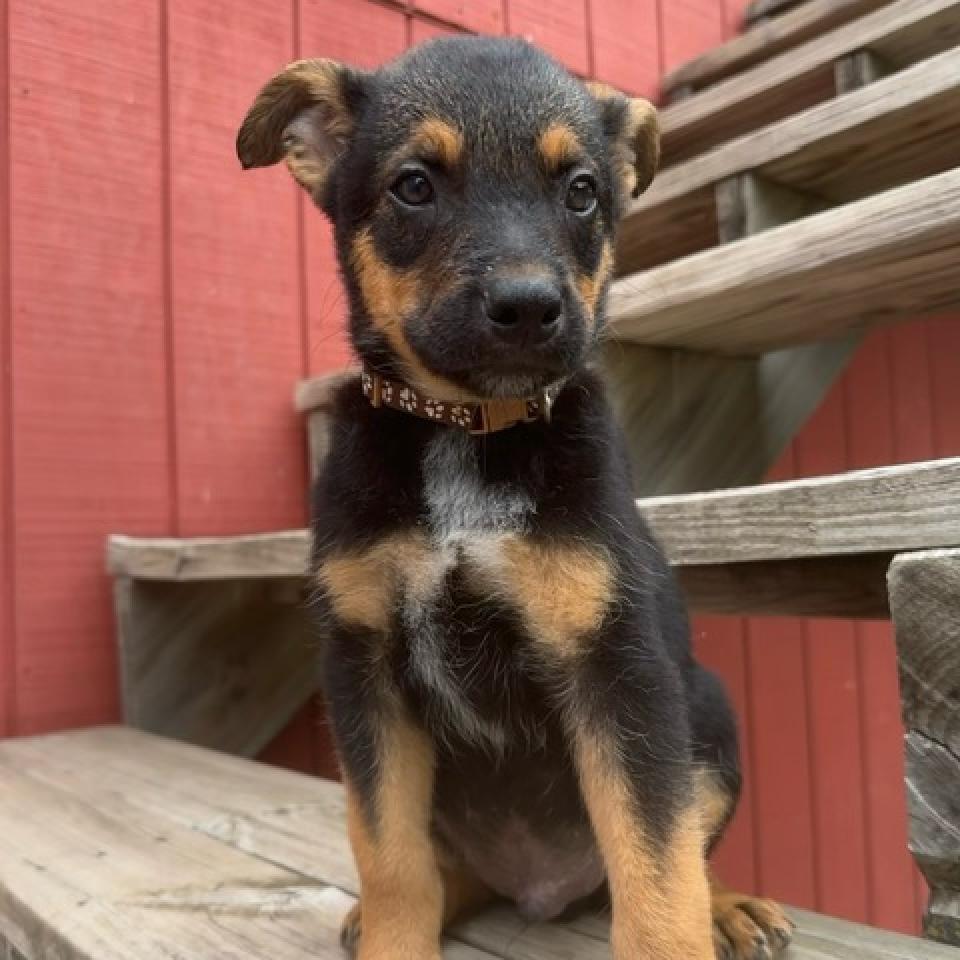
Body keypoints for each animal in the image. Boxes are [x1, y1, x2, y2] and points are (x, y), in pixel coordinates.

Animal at [236, 35, 792, 960]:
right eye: (413, 184)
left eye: (582, 192)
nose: (529, 309)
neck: (471, 428)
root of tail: (542, 889)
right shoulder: (363, 676)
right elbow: (390, 859)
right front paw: (393, 937)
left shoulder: (620, 670)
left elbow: (659, 874)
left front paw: (691, 918)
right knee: (441, 871)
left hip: (707, 710)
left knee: (680, 850)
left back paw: (730, 906)